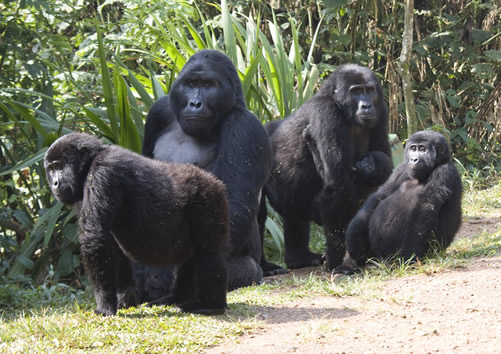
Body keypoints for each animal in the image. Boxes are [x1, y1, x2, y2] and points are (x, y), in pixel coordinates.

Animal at [45, 133, 229, 316]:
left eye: (59, 167)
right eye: (51, 170)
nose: (54, 183)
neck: (92, 159)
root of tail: (216, 182)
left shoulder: (104, 172)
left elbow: (95, 238)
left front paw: (104, 305)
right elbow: (111, 246)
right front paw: (125, 298)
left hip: (209, 197)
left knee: (208, 252)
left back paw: (211, 305)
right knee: (191, 256)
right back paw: (177, 298)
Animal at [140, 48, 274, 298]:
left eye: (208, 85)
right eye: (191, 83)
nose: (195, 103)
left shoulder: (245, 126)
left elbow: (234, 206)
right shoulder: (158, 112)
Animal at [260, 64, 392, 274]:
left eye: (369, 90)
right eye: (356, 92)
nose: (366, 106)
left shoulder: (381, 111)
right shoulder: (326, 111)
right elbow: (339, 185)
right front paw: (338, 260)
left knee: (295, 216)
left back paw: (298, 258)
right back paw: (265, 266)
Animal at [334, 130, 462, 274]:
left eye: (422, 149)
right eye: (413, 148)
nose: (413, 159)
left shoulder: (445, 171)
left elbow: (425, 209)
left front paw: (408, 257)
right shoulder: (402, 168)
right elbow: (380, 195)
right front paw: (353, 238)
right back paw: (349, 265)